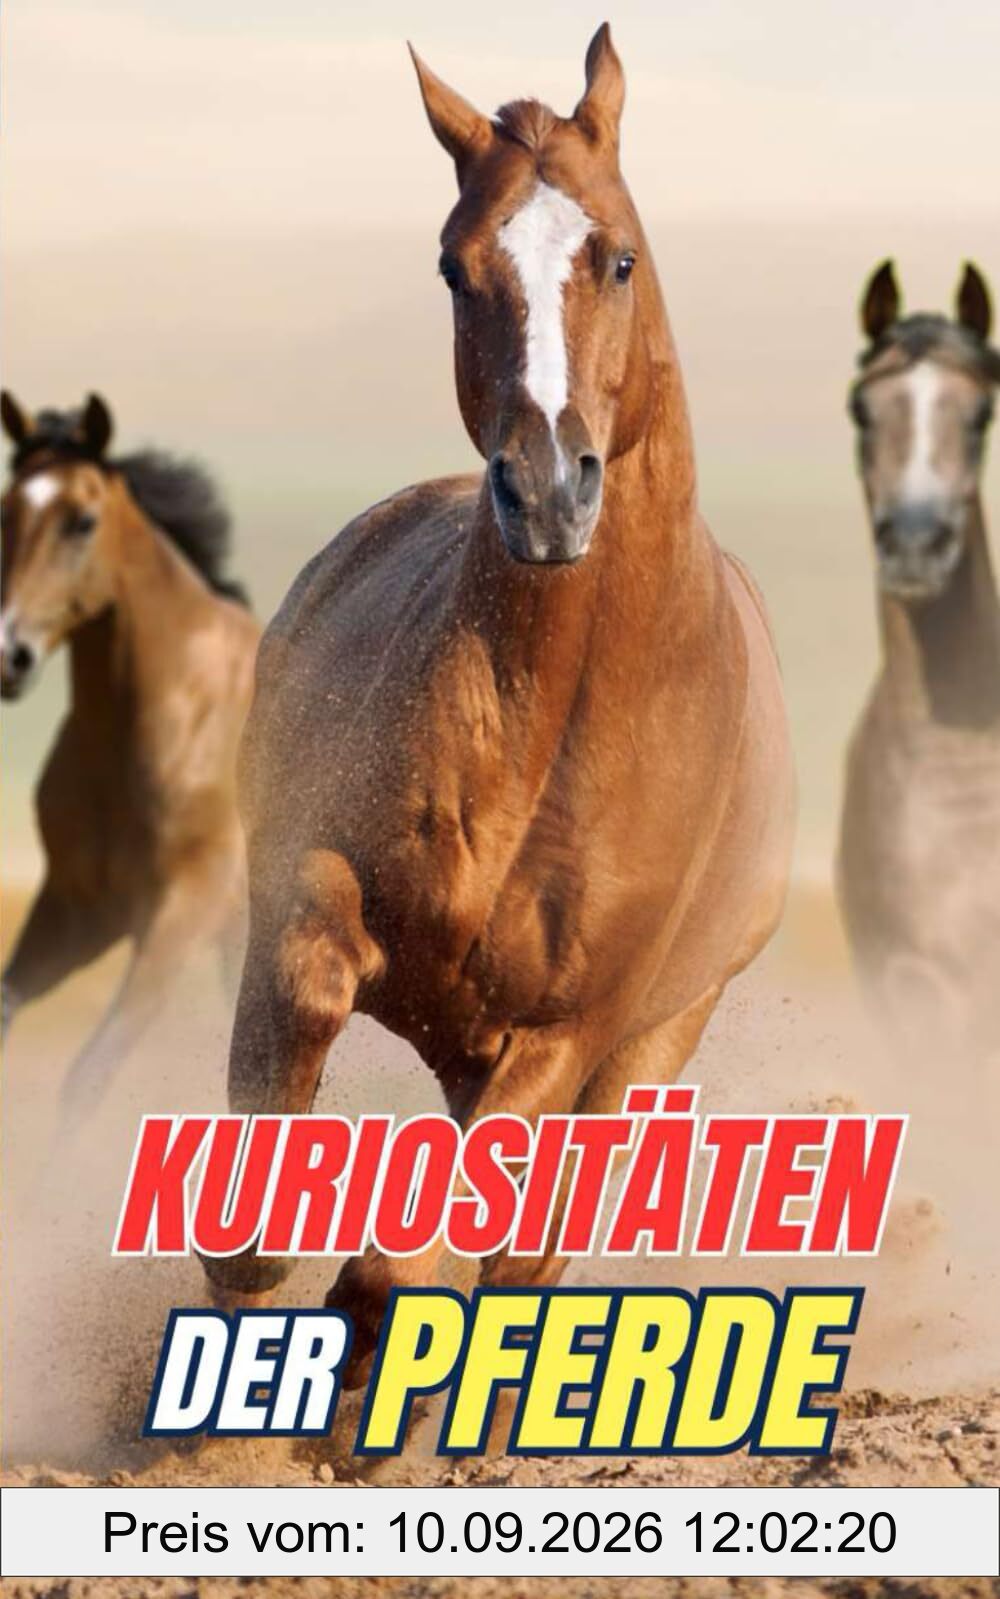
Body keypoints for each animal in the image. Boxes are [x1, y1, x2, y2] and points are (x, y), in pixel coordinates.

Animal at [0, 391, 260, 1116]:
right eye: (6, 511)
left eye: (82, 521)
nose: (9, 654)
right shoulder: (79, 908)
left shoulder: (179, 912)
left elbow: (88, 1075)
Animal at [203, 25, 795, 1381]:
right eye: (453, 267)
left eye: (616, 256)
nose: (547, 492)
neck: (553, 722)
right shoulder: (312, 880)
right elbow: (306, 987)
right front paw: (259, 1274)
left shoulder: (573, 1028)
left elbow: (449, 1240)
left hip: (649, 1041)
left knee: (530, 1251)